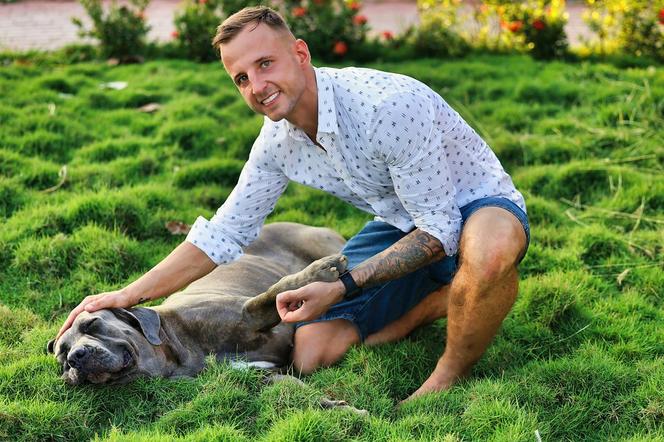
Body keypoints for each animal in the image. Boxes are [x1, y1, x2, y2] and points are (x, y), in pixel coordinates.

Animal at [46, 223, 348, 386]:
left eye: (92, 323)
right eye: (62, 356)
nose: (76, 357)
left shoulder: (248, 314)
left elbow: (275, 293)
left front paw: (319, 273)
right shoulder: (261, 377)